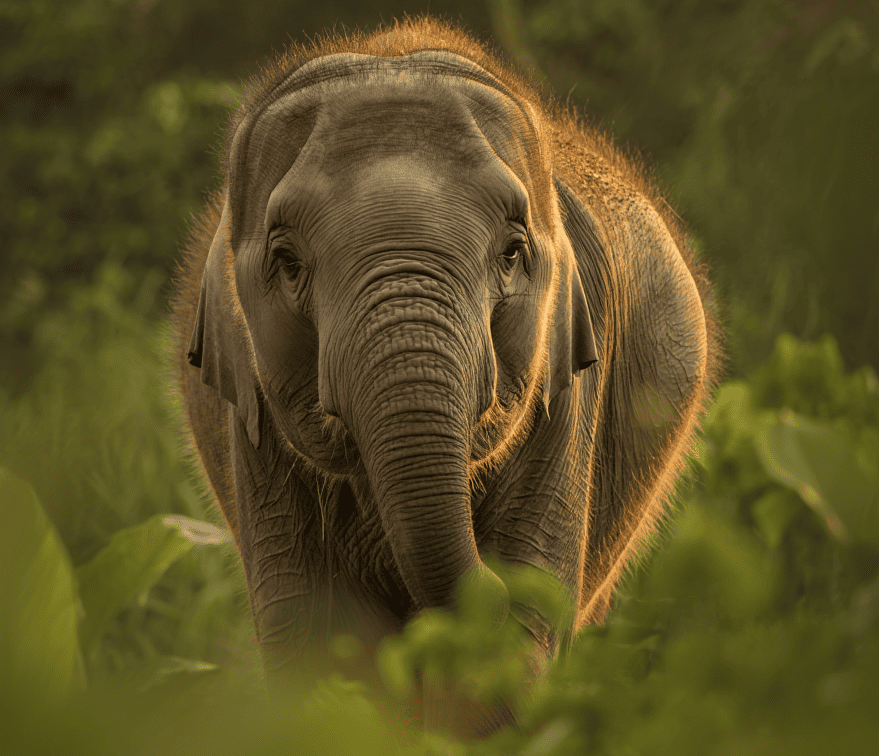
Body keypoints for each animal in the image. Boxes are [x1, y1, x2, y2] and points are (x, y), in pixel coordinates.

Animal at [172, 16, 722, 738]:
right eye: (286, 261)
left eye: (512, 252)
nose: (485, 587)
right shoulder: (253, 419)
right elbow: (314, 638)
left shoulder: (569, 389)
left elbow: (516, 636)